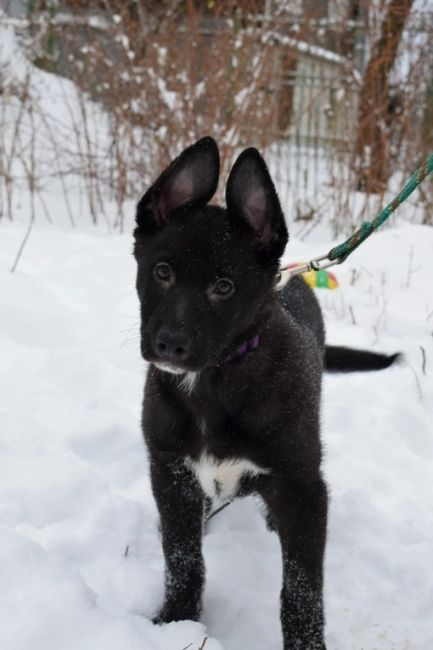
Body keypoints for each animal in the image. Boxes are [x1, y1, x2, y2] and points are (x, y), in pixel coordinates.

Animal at [133, 134, 396, 644]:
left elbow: (301, 588)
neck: (214, 380)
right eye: (162, 272)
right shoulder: (170, 472)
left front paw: (306, 644)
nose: (169, 345)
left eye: (223, 286)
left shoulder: (303, 490)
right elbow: (182, 558)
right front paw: (175, 621)